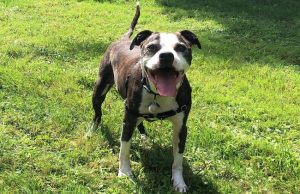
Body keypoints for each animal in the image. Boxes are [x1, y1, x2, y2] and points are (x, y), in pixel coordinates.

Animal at [86, 1, 202, 192]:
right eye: (152, 47)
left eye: (181, 47)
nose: (166, 56)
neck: (156, 94)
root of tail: (124, 38)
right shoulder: (128, 120)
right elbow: (124, 149)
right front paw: (124, 172)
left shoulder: (181, 128)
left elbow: (178, 160)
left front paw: (179, 181)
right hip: (99, 90)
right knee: (97, 114)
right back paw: (91, 131)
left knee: (140, 122)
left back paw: (144, 137)